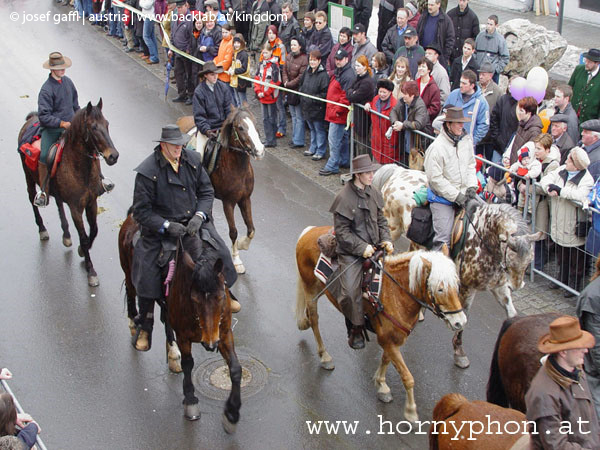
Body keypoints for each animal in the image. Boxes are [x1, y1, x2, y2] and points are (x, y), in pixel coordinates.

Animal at [17, 100, 119, 286]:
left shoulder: (91, 202)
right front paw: (91, 271)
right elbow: (84, 237)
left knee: (58, 203)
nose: (113, 156)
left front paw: (82, 251)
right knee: (31, 199)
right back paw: (42, 229)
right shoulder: (76, 208)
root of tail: (31, 119)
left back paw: (66, 234)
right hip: (28, 176)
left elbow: (94, 230)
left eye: (107, 124)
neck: (80, 168)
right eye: (93, 127)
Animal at [117, 214, 241, 432]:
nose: (210, 344)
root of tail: (130, 218)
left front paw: (231, 413)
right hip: (130, 274)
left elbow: (235, 368)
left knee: (165, 320)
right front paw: (190, 401)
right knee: (134, 297)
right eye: (194, 299)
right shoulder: (184, 336)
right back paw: (138, 331)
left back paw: (172, 354)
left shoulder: (224, 333)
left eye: (220, 297)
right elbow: (189, 364)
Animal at [176, 106, 264, 274]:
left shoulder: (245, 199)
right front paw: (236, 260)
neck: (237, 167)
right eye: (240, 127)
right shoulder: (228, 202)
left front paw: (242, 244)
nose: (260, 151)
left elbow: (251, 229)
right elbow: (233, 231)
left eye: (255, 123)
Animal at [296, 225, 468, 422]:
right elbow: (407, 376)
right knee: (315, 320)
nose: (460, 321)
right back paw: (325, 356)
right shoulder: (387, 339)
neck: (397, 292)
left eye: (457, 284)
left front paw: (381, 384)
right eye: (440, 288)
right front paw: (410, 411)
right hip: (310, 289)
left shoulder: (393, 338)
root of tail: (309, 231)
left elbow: (386, 359)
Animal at [378, 163, 548, 368]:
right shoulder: (467, 287)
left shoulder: (498, 286)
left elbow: (512, 314)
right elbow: (464, 316)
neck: (484, 238)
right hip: (391, 228)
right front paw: (459, 352)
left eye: (530, 260)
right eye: (512, 256)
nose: (517, 286)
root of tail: (398, 171)